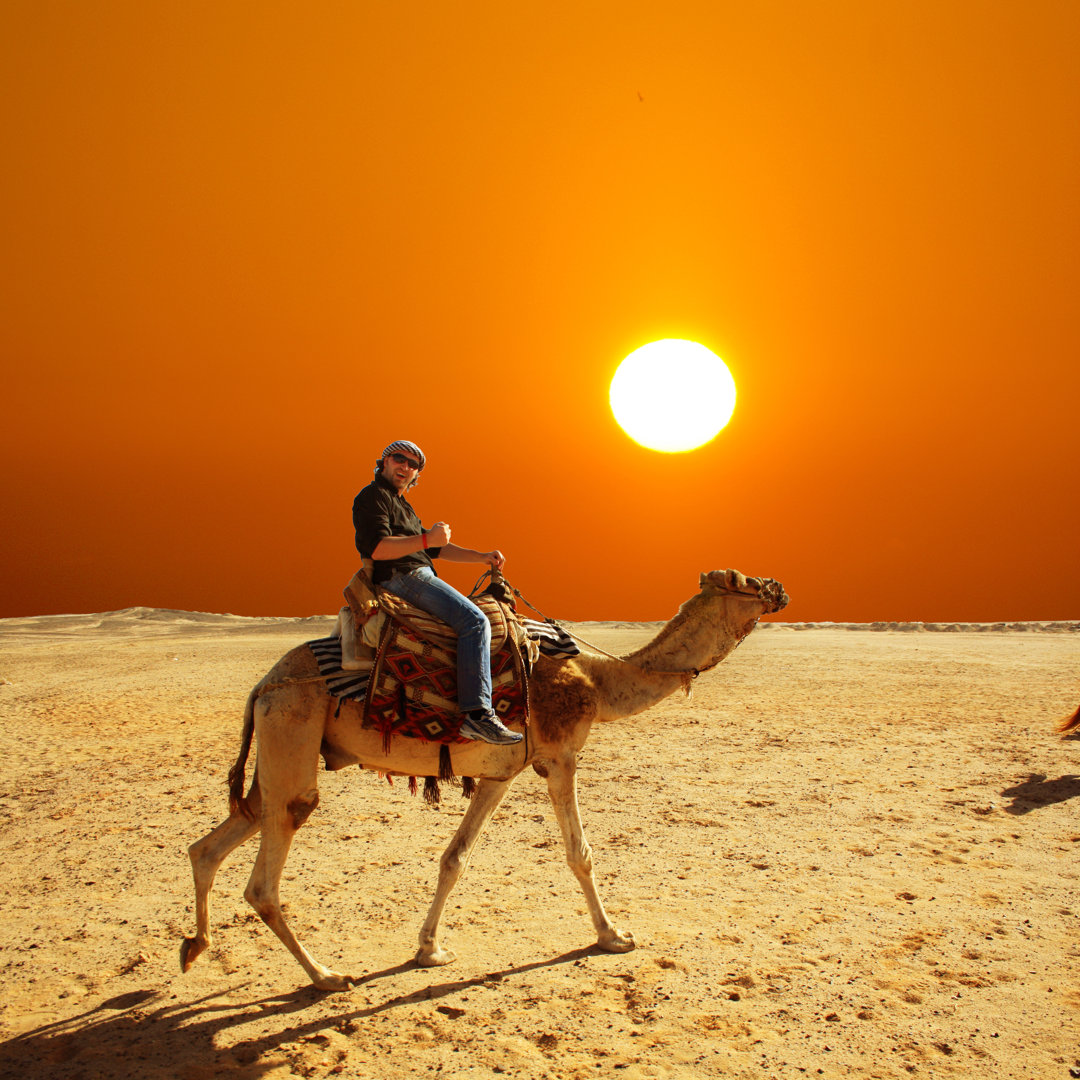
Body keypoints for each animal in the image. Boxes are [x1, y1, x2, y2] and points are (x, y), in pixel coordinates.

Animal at [177, 570, 786, 989]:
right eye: (744, 581)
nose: (779, 587)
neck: (598, 680)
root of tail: (264, 683)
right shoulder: (560, 756)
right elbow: (580, 854)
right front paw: (614, 936)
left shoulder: (502, 774)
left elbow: (455, 858)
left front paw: (429, 950)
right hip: (292, 729)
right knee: (266, 873)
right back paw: (326, 977)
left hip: (279, 754)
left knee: (212, 843)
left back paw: (195, 946)